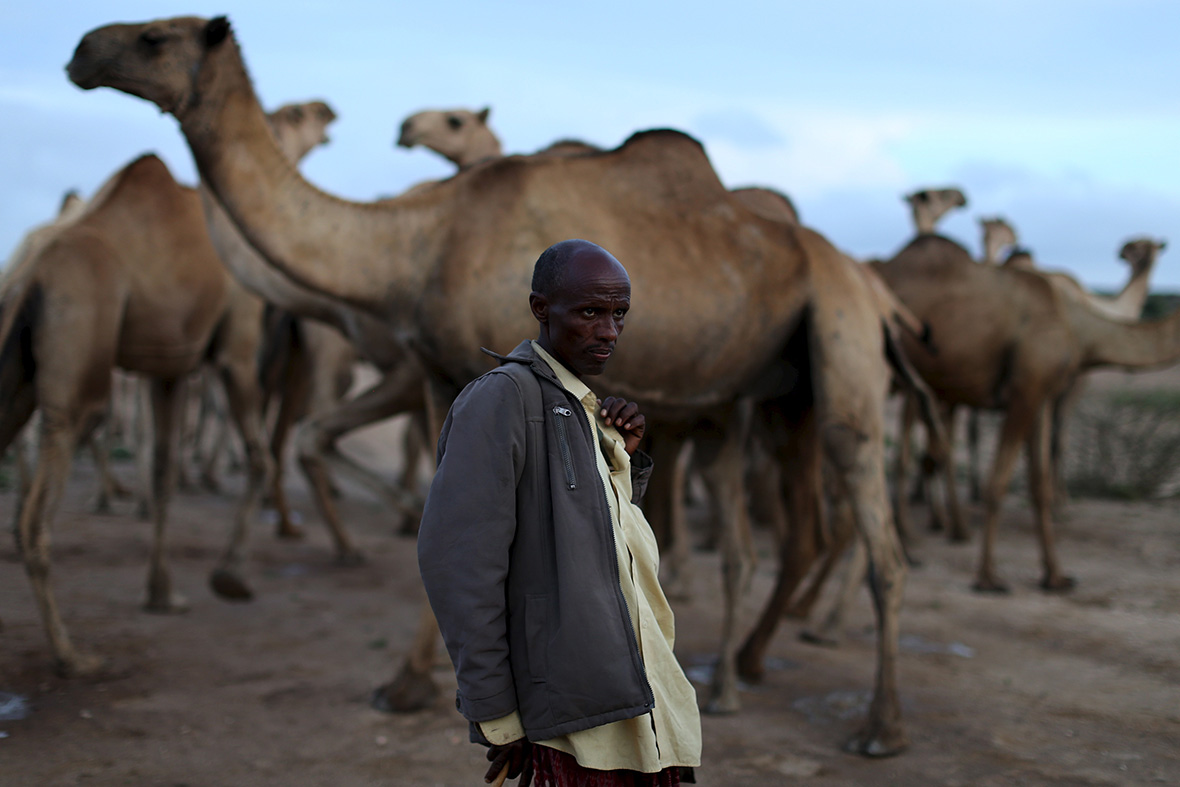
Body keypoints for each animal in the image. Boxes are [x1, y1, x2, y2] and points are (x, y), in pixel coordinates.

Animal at [66, 16, 910, 755]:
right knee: (802, 529)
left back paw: (878, 726)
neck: (413, 243)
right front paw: (408, 678)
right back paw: (755, 663)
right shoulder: (441, 377)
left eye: (154, 37)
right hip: (778, 396)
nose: (80, 52)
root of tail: (869, 283)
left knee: (877, 538)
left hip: (839, 342)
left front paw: (408, 684)